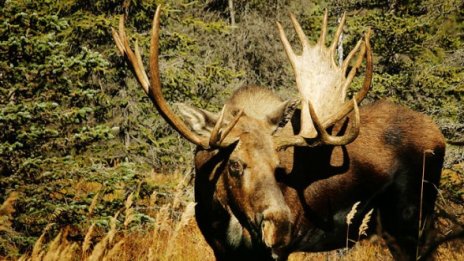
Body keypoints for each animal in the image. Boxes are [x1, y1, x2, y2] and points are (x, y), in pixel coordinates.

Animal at [112, 5, 446, 260]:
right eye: (235, 164)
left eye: (278, 167)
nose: (280, 225)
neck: (223, 220)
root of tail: (440, 136)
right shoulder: (222, 250)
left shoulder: (278, 251)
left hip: (412, 220)